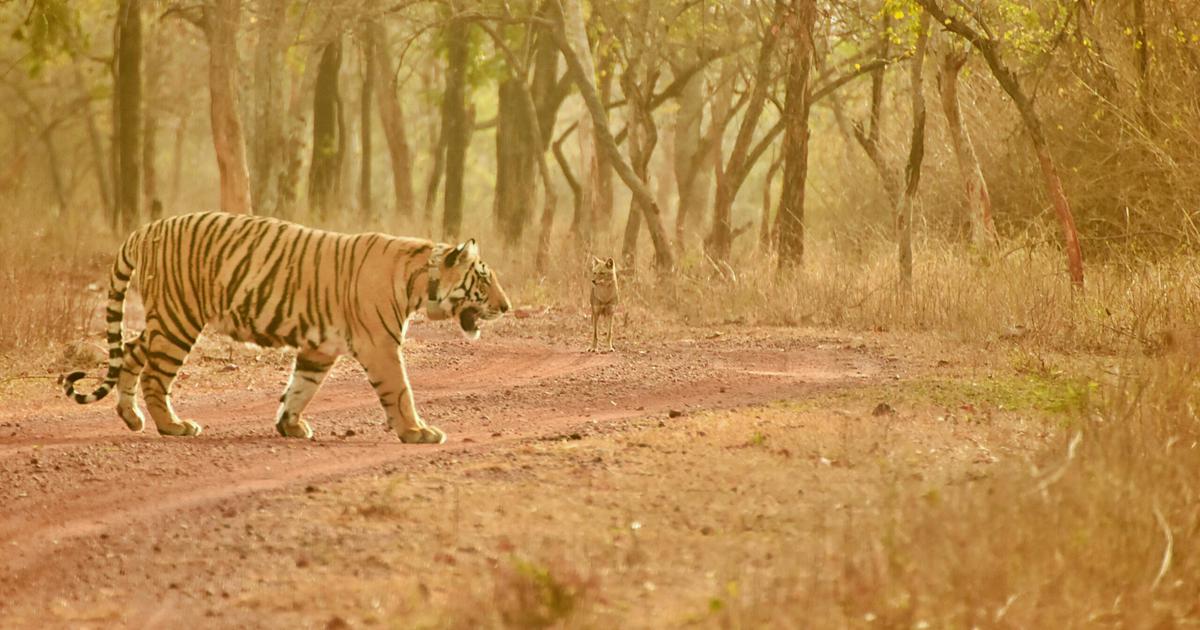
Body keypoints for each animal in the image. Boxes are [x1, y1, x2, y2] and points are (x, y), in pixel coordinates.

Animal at [62, 211, 511, 443]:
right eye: (484, 279)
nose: (507, 307)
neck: (419, 281)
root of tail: (146, 228)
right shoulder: (380, 345)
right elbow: (400, 391)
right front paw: (418, 431)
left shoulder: (320, 348)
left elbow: (301, 387)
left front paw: (290, 425)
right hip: (179, 318)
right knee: (155, 374)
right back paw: (173, 426)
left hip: (166, 319)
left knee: (132, 352)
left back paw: (131, 416)